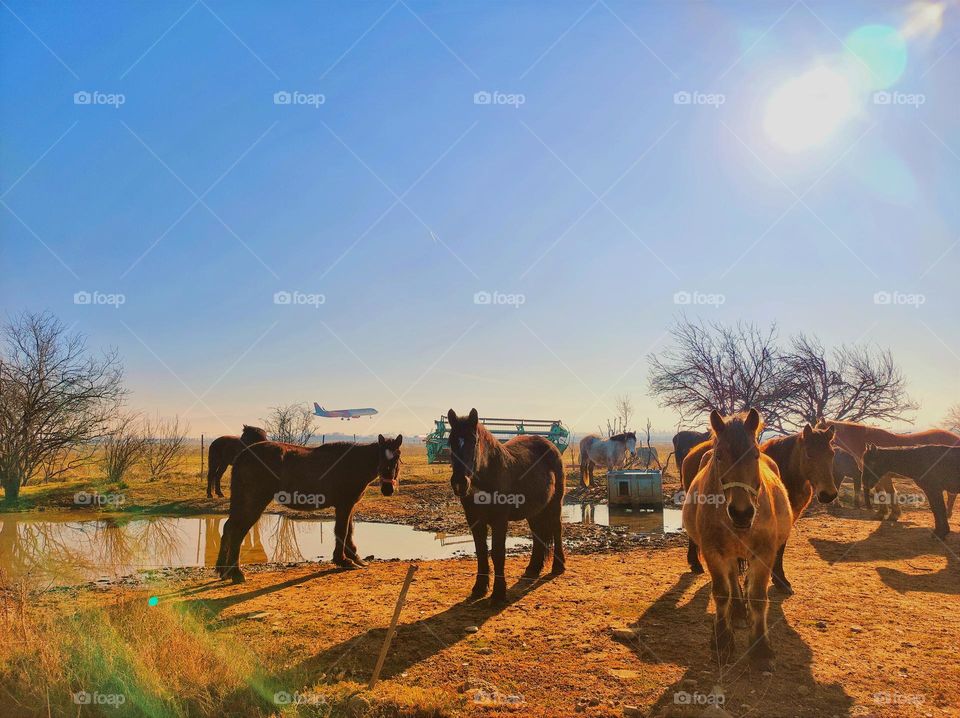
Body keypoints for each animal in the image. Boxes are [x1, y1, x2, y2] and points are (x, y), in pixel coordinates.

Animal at [215, 433, 402, 582]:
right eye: (381, 457)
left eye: (397, 458)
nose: (388, 489)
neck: (352, 464)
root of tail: (243, 455)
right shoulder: (344, 505)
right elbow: (342, 531)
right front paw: (343, 560)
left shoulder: (349, 506)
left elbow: (349, 531)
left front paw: (355, 558)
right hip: (254, 502)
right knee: (237, 531)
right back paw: (236, 573)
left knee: (229, 528)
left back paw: (223, 571)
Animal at [447, 408, 565, 604]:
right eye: (451, 441)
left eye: (473, 440)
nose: (459, 483)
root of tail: (550, 445)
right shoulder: (474, 520)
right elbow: (481, 552)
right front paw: (479, 588)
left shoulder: (499, 520)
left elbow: (498, 553)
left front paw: (498, 593)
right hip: (534, 510)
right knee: (537, 534)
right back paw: (533, 568)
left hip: (555, 503)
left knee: (557, 529)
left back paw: (558, 566)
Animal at [682, 409, 791, 671]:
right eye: (719, 456)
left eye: (755, 454)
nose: (742, 512)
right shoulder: (713, 552)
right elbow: (722, 593)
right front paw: (722, 641)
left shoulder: (764, 554)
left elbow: (758, 596)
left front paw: (761, 649)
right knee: (732, 580)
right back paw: (738, 612)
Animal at [820, 420, 960, 520]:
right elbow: (882, 491)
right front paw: (884, 513)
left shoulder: (883, 476)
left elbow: (888, 492)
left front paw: (892, 514)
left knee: (952, 495)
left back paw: (947, 514)